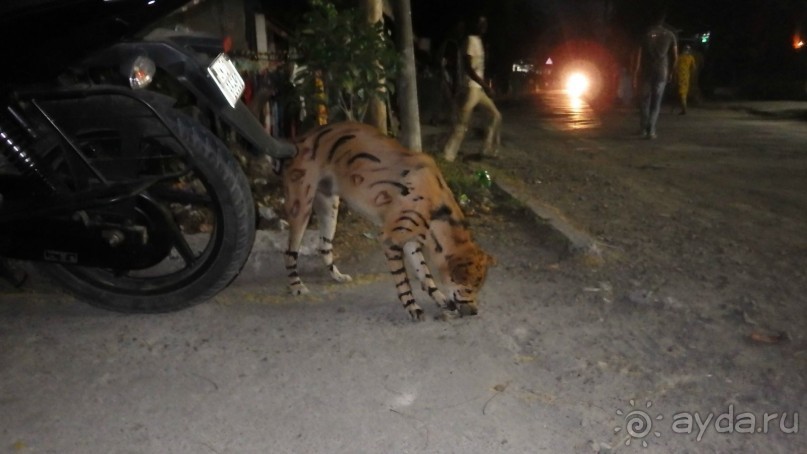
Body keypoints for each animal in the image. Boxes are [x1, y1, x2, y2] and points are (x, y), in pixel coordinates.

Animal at [280, 120, 496, 320]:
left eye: (477, 288)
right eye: (468, 288)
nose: (475, 312)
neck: (437, 211)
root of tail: (301, 138)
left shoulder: (411, 243)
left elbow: (425, 275)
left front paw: (441, 300)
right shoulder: (390, 241)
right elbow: (403, 281)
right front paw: (412, 307)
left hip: (330, 209)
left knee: (323, 246)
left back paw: (336, 276)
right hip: (301, 207)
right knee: (290, 252)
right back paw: (296, 285)